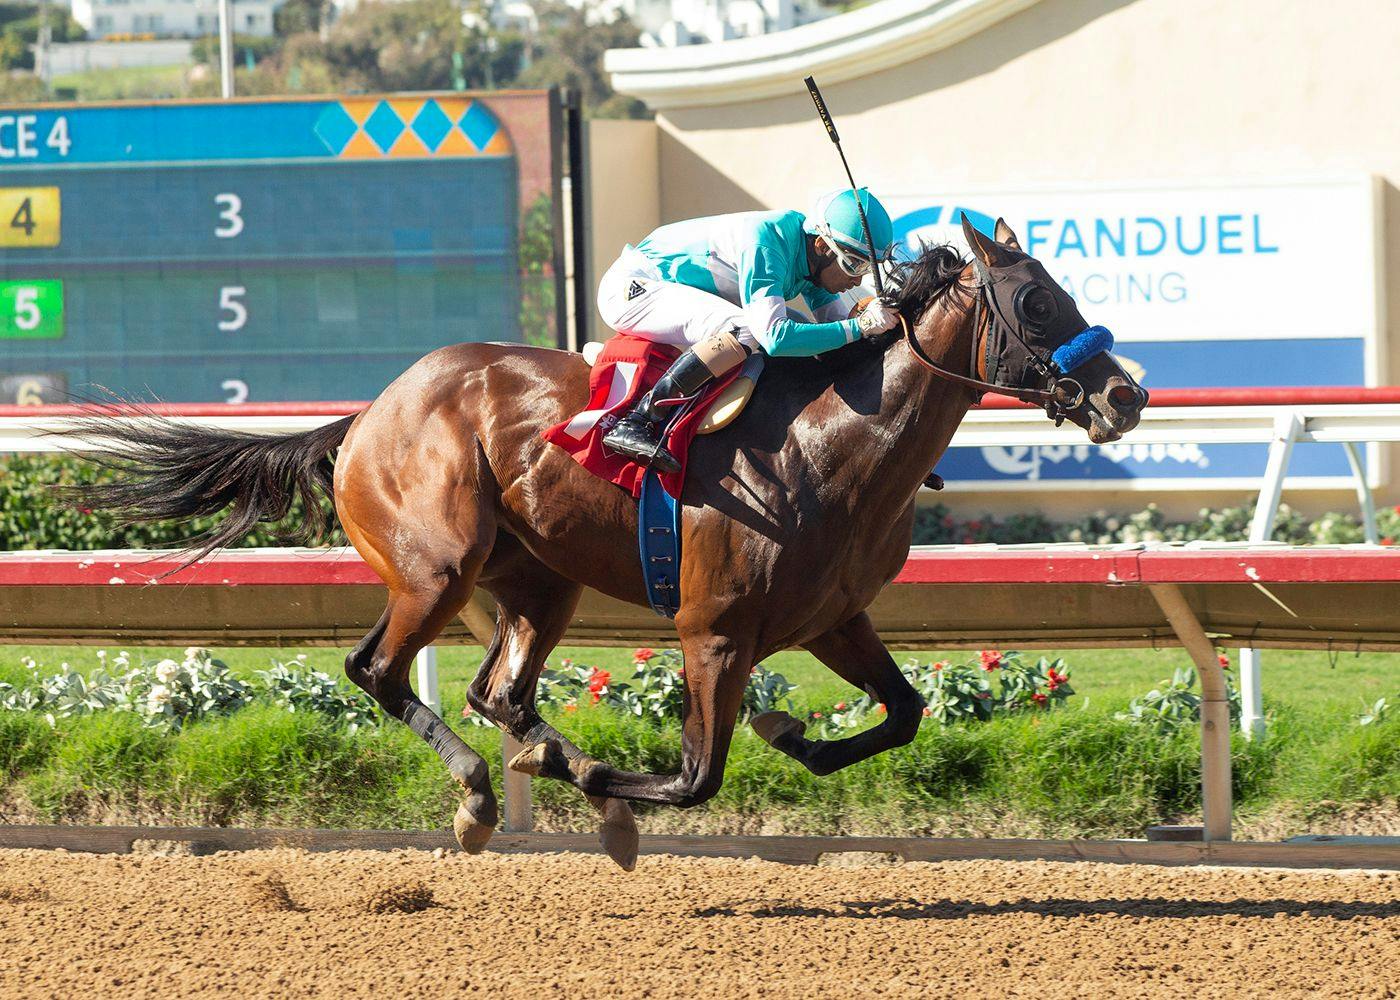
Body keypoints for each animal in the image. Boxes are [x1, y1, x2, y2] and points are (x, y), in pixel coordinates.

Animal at [71, 215, 1142, 862]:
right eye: (1036, 302)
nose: (1125, 395)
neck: (833, 440)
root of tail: (370, 411)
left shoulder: (833, 619)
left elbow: (905, 714)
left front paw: (785, 729)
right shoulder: (714, 633)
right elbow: (699, 776)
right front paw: (594, 778)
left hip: (539, 581)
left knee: (496, 691)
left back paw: (558, 778)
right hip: (438, 567)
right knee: (380, 669)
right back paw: (484, 794)